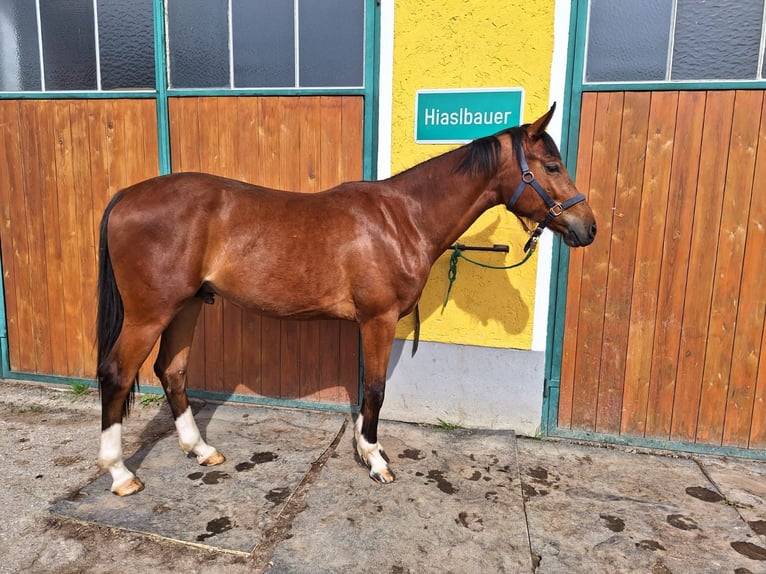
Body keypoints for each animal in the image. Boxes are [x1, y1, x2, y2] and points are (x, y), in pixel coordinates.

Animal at [97, 106, 600, 498]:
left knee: (171, 371)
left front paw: (364, 448)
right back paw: (120, 474)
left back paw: (201, 451)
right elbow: (374, 388)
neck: (402, 219)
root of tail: (125, 195)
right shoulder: (378, 320)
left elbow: (365, 389)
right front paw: (375, 460)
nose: (588, 227)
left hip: (187, 306)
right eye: (551, 167)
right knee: (117, 375)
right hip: (149, 314)